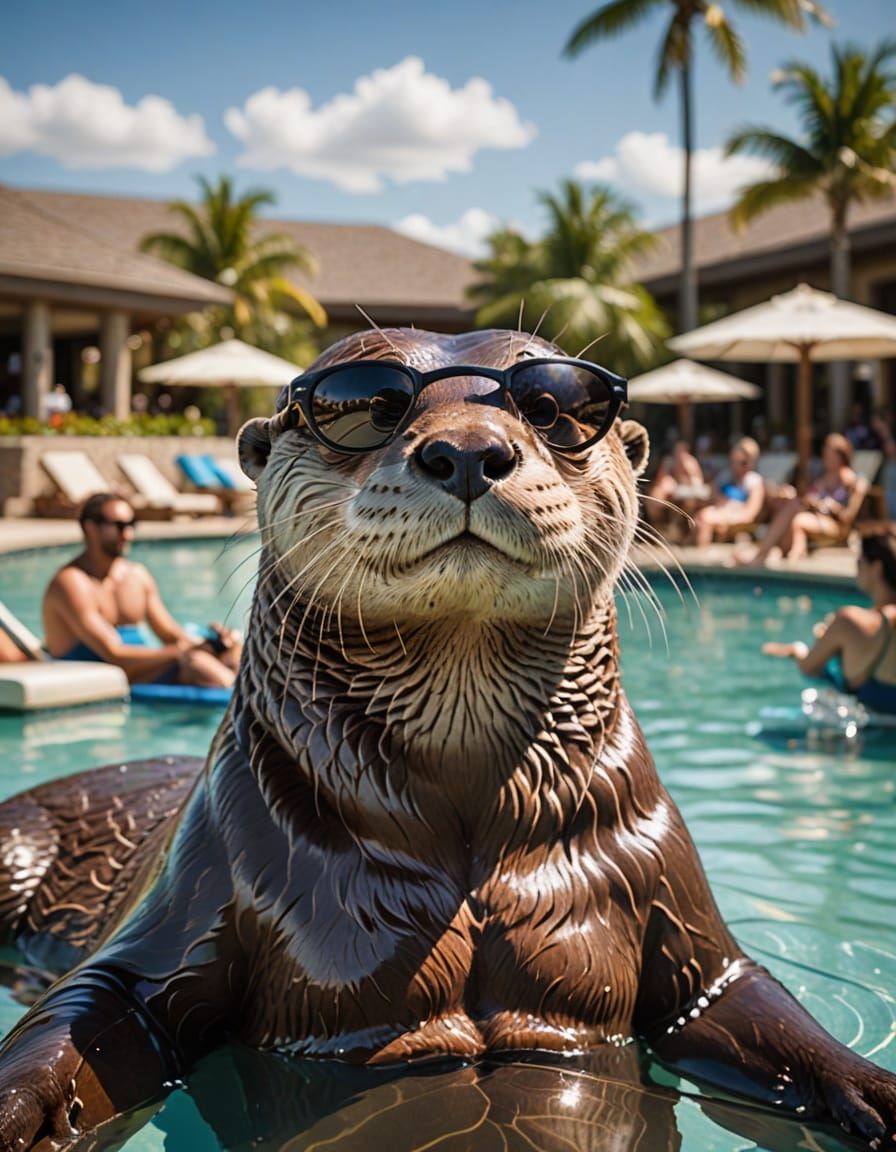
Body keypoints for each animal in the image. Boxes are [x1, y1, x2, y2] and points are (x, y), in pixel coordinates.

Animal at [0, 327, 893, 1152]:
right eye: (367, 402)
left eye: (551, 406)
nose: (468, 451)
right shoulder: (193, 887)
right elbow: (92, 1002)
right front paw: (20, 1112)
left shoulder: (673, 896)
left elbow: (739, 996)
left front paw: (873, 1093)